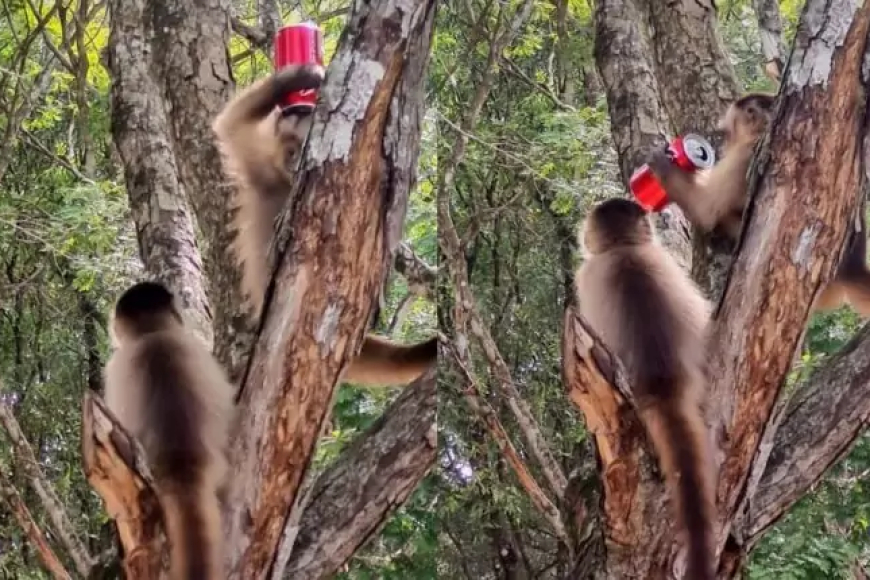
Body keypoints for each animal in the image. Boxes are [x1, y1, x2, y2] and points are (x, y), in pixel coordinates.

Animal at [212, 64, 437, 387]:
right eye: (291, 148)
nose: (292, 113)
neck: (284, 181)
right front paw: (298, 78)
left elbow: (228, 125)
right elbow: (228, 125)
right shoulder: (263, 169)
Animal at [648, 92, 870, 316]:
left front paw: (664, 164)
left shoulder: (745, 155)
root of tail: (853, 269)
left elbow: (706, 211)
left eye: (728, 132)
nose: (722, 140)